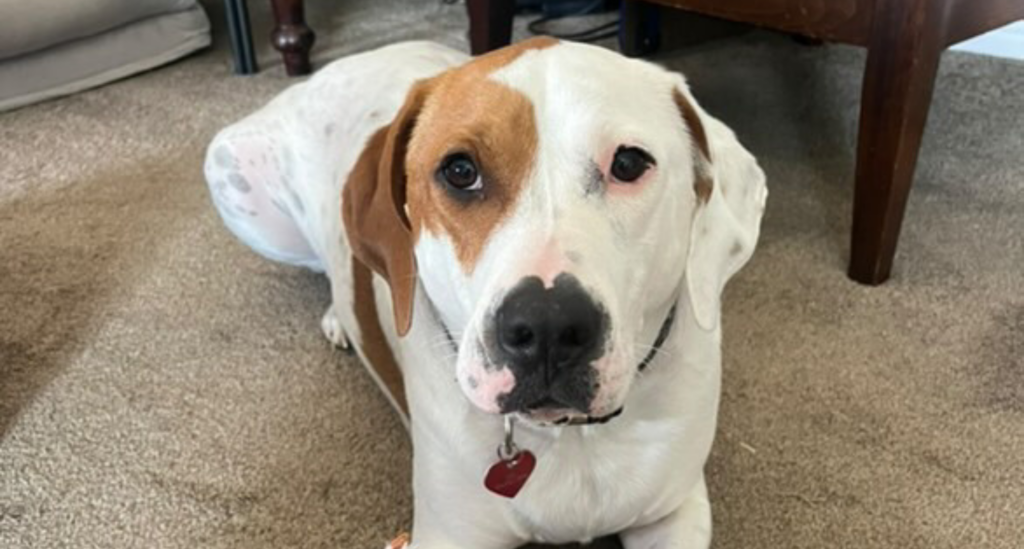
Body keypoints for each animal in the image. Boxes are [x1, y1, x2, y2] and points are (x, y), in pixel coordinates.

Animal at [205, 36, 770, 544]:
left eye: (628, 163)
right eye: (460, 171)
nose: (547, 326)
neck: (570, 435)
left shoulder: (676, 508)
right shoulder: (449, 534)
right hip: (233, 177)